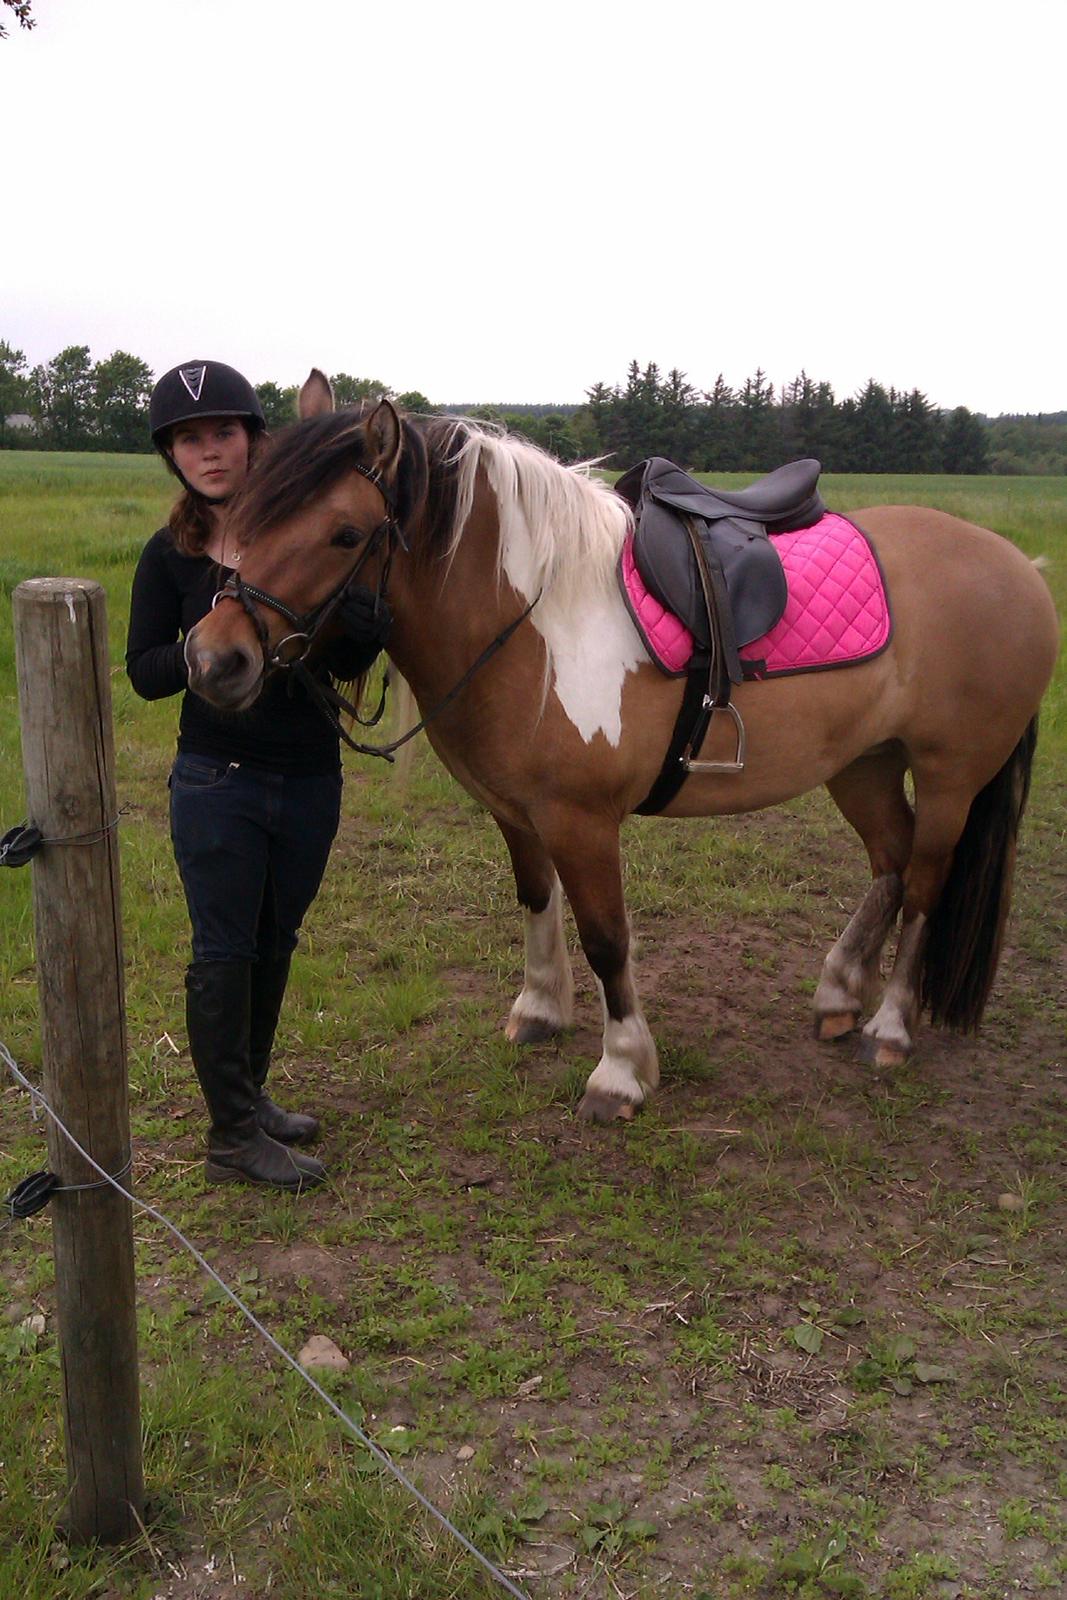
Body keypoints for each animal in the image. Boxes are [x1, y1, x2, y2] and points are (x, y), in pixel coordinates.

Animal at [184, 371, 1059, 1122]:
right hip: (862, 763)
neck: (536, 620)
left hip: (948, 777)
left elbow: (607, 939)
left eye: (344, 534)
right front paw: (539, 1010)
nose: (214, 660)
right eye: (248, 515)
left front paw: (621, 1070)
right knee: (890, 860)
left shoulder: (582, 822)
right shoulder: (516, 813)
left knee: (924, 883)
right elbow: (535, 901)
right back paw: (840, 993)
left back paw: (888, 1028)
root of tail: (1018, 565)